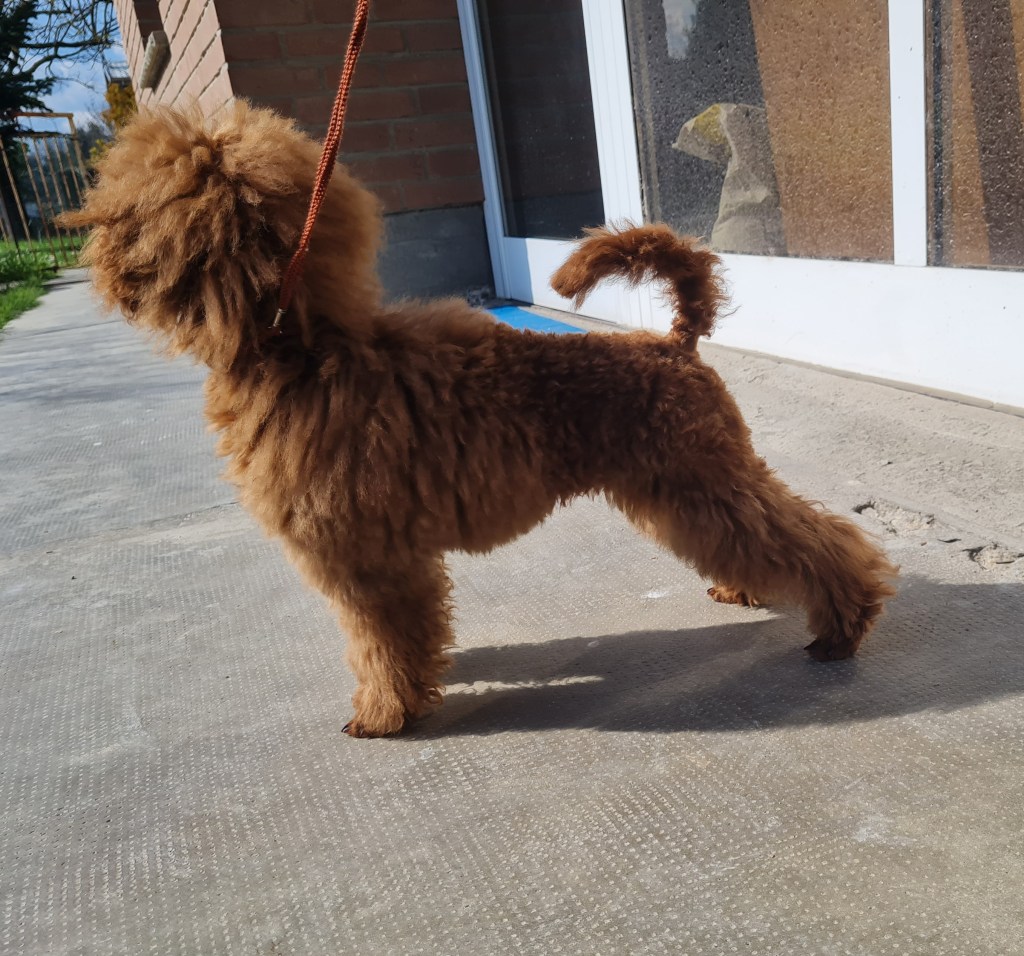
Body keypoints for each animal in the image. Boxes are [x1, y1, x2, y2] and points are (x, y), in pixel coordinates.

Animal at [65, 102, 896, 737]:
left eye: (141, 204)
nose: (89, 249)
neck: (299, 345)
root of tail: (674, 341)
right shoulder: (390, 558)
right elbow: (405, 634)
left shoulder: (365, 556)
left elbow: (380, 644)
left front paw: (383, 715)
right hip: (682, 488)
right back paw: (752, 591)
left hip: (699, 476)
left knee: (821, 542)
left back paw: (842, 626)